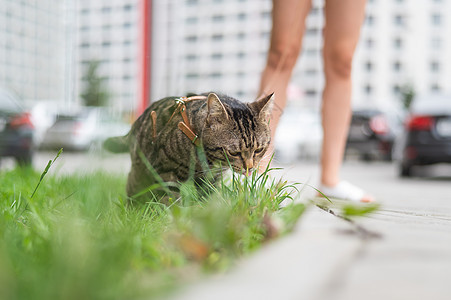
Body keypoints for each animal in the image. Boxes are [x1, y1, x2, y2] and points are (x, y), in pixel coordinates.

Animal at [104, 92, 274, 203]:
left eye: (259, 150)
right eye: (234, 152)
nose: (249, 167)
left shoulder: (210, 181)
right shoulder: (166, 173)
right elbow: (169, 201)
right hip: (141, 170)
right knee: (132, 186)